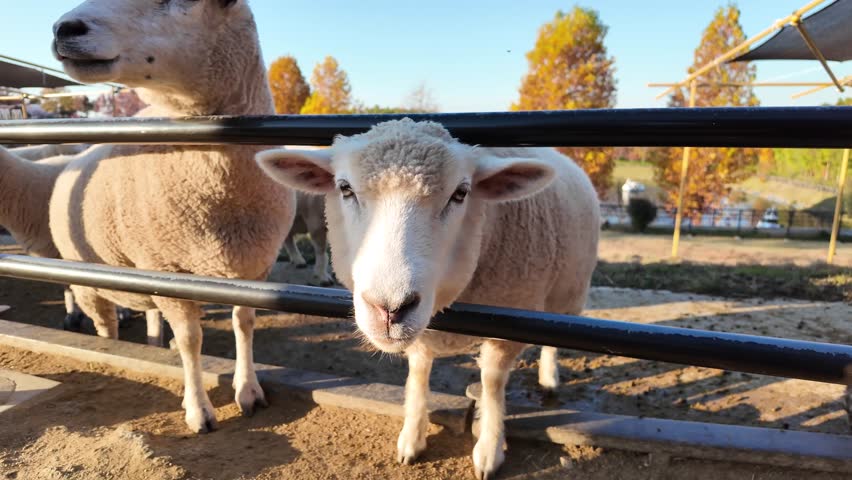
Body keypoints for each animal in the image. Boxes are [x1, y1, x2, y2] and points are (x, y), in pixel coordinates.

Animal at [47, 0, 296, 433]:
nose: (64, 28)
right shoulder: (168, 269)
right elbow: (191, 339)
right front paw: (199, 410)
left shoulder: (255, 268)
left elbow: (244, 323)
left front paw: (249, 390)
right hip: (90, 275)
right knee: (106, 323)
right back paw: (111, 348)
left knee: (149, 316)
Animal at [256, 118, 600, 479]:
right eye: (345, 188)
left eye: (461, 193)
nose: (389, 309)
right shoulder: (420, 332)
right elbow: (419, 373)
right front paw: (412, 437)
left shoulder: (510, 322)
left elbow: (492, 383)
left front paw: (489, 449)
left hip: (570, 288)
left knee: (554, 336)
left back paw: (549, 378)